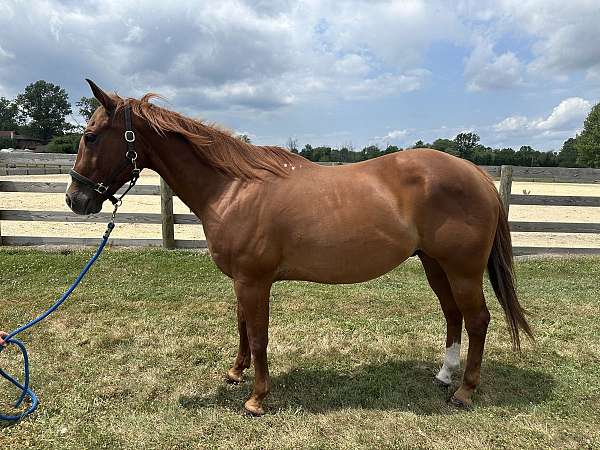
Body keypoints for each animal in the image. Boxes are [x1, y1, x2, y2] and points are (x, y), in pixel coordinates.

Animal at [67, 80, 536, 414]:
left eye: (91, 137)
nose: (76, 199)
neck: (234, 187)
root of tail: (477, 175)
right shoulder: (242, 281)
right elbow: (242, 328)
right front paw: (235, 373)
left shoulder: (254, 281)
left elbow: (258, 336)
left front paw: (256, 398)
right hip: (435, 265)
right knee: (453, 315)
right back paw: (444, 374)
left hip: (462, 269)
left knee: (478, 320)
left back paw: (464, 392)